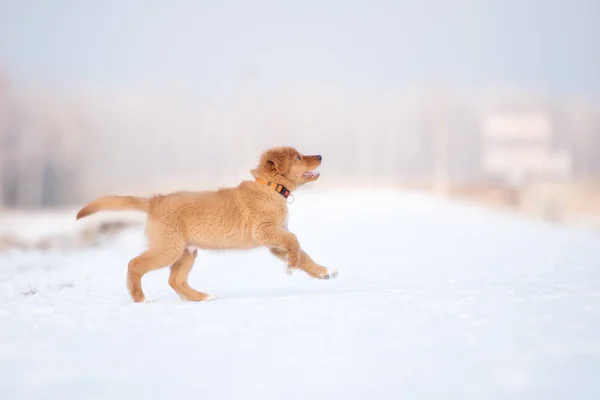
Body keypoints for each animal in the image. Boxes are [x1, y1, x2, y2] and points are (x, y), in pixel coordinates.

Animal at [75, 145, 338, 302]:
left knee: (175, 280)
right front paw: (291, 266)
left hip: (187, 251)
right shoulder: (265, 231)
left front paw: (323, 272)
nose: (320, 156)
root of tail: (155, 201)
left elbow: (303, 254)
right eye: (298, 157)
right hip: (168, 248)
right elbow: (295, 242)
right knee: (135, 264)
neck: (271, 188)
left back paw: (201, 297)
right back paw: (139, 297)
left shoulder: (274, 240)